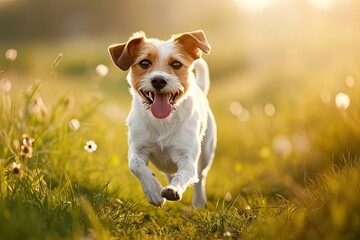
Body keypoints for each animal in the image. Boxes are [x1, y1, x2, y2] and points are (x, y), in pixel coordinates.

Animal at [108, 29, 217, 206]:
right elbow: (135, 165)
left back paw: (199, 202)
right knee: (169, 172)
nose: (159, 80)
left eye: (176, 64)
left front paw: (174, 189)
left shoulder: (187, 156)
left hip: (206, 152)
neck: (163, 121)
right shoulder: (138, 147)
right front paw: (153, 190)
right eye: (145, 63)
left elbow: (185, 172)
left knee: (200, 177)